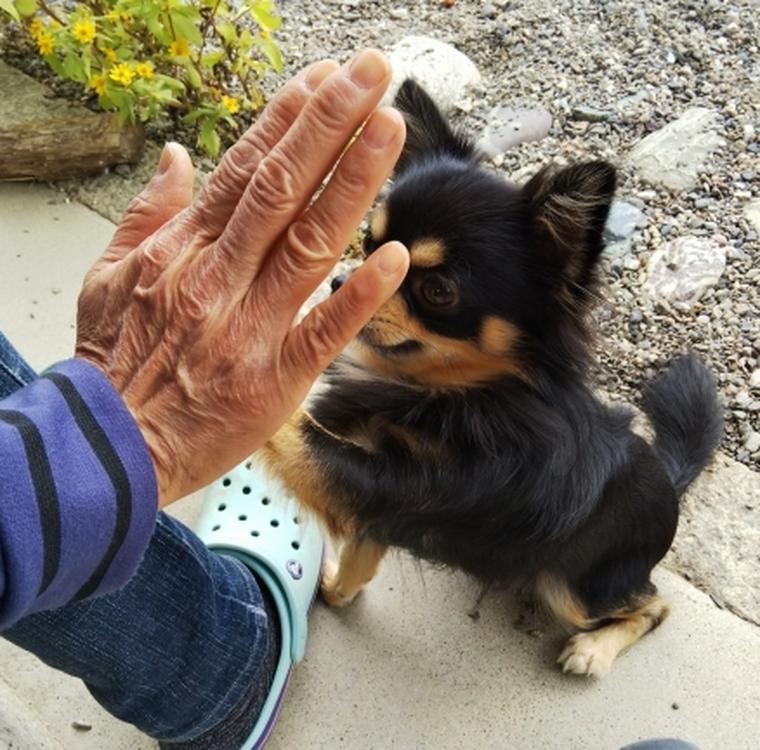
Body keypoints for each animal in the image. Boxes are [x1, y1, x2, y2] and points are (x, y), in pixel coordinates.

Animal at [258, 79, 720, 680]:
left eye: (437, 291)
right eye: (369, 243)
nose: (341, 284)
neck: (440, 393)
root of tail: (670, 477)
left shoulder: (392, 485)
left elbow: (298, 435)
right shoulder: (380, 504)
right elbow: (362, 554)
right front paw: (336, 589)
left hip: (574, 587)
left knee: (653, 605)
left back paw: (592, 649)